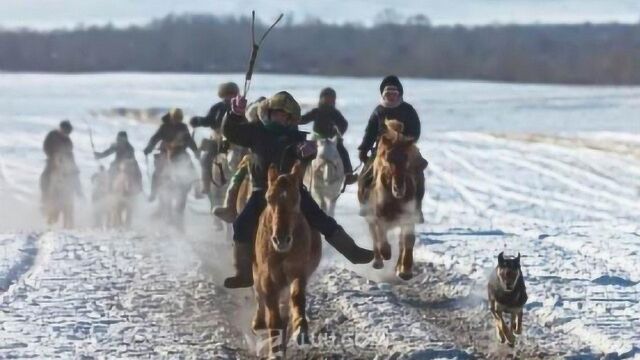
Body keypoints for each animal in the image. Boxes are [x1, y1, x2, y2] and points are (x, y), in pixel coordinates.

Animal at [250, 162, 320, 358]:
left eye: (297, 199)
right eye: (269, 199)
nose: (281, 239)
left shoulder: (298, 271)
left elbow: (297, 297)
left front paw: (301, 331)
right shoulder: (267, 278)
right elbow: (273, 317)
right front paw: (274, 352)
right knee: (259, 297)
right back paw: (258, 324)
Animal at [358, 119, 428, 280]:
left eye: (407, 158)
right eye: (388, 159)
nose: (398, 188)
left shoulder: (408, 217)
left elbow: (408, 241)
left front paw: (405, 270)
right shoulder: (378, 217)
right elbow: (381, 238)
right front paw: (386, 254)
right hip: (370, 219)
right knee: (374, 237)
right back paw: (378, 261)